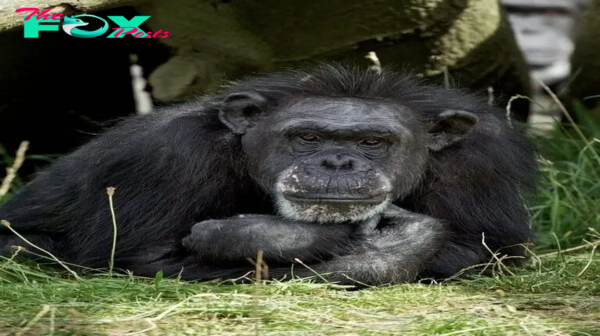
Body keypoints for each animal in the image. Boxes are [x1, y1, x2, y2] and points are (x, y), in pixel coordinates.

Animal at [0, 63, 540, 286]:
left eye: (372, 142)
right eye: (307, 137)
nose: (337, 162)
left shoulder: (480, 161)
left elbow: (482, 250)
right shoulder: (168, 157)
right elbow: (147, 261)